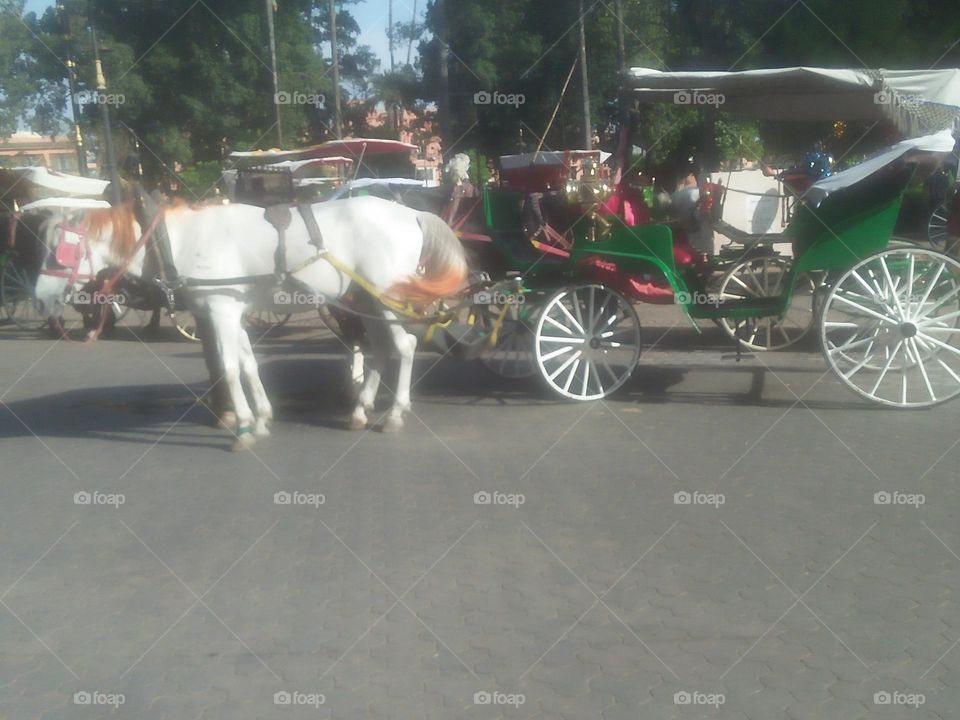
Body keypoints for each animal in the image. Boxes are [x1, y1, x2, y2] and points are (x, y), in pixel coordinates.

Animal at [35, 194, 470, 448]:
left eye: (58, 254)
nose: (39, 299)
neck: (179, 242)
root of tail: (412, 213)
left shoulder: (220, 310)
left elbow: (228, 368)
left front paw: (243, 426)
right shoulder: (230, 312)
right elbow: (247, 364)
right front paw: (261, 418)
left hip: (386, 298)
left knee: (404, 347)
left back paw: (395, 414)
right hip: (365, 299)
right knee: (381, 348)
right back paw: (361, 409)